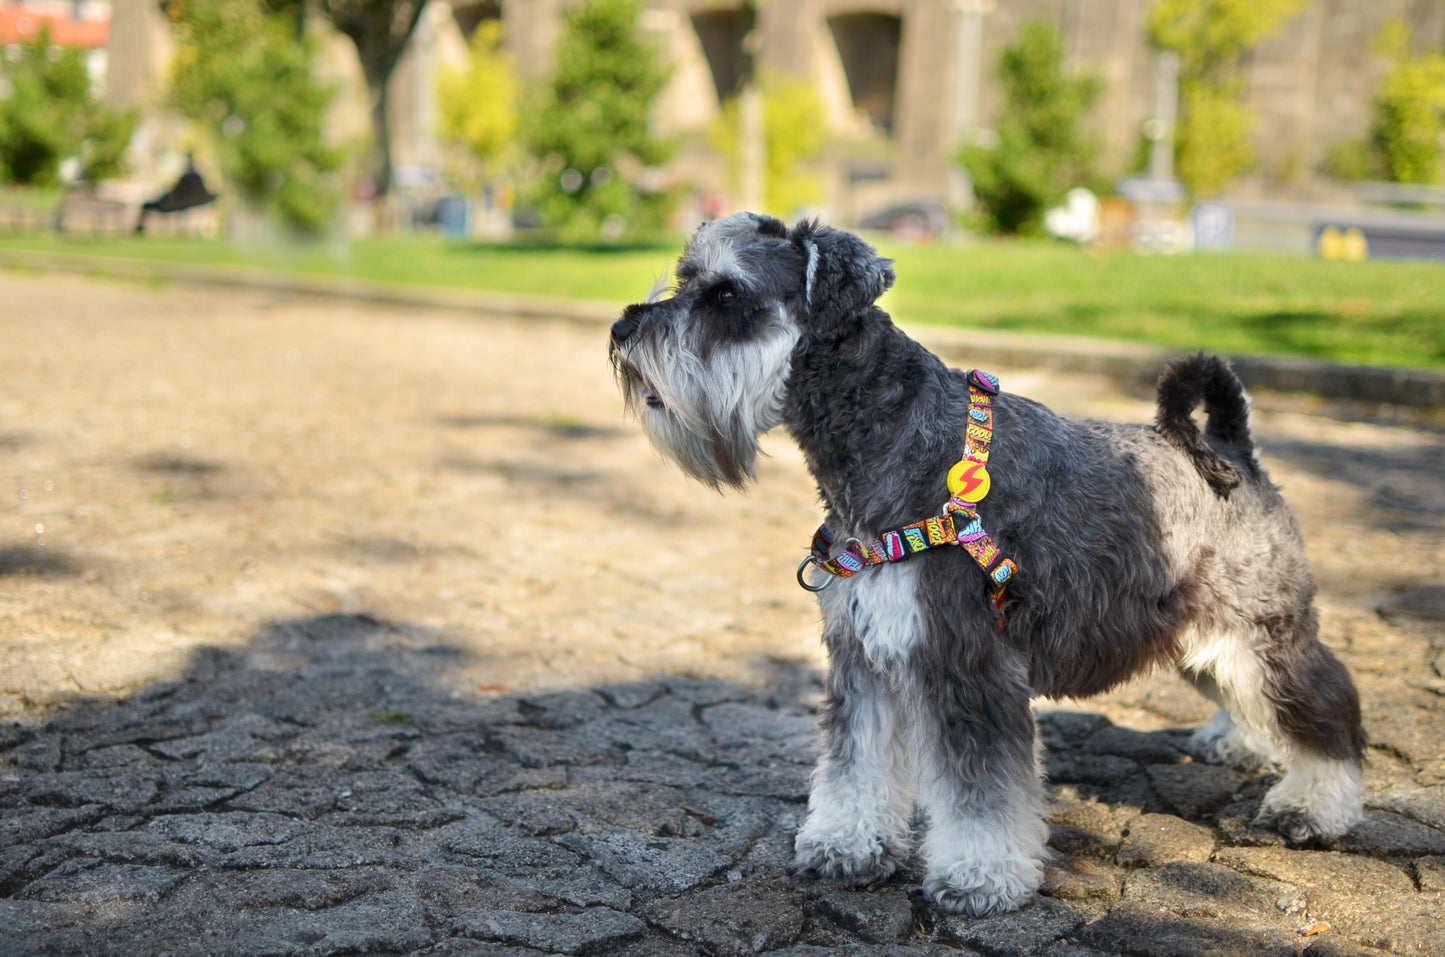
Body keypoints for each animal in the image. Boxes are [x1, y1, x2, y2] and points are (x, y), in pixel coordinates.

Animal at [609, 213, 1364, 919]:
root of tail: (1231, 452)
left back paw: (1313, 806)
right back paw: (1240, 744)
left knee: (1324, 705)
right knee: (1239, 687)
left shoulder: (965, 661)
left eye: (727, 293)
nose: (622, 327)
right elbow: (855, 762)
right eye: (685, 277)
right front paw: (848, 845)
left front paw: (980, 877)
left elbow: (980, 793)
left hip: (1265, 624)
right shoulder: (863, 654)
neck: (890, 429)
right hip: (1191, 629)